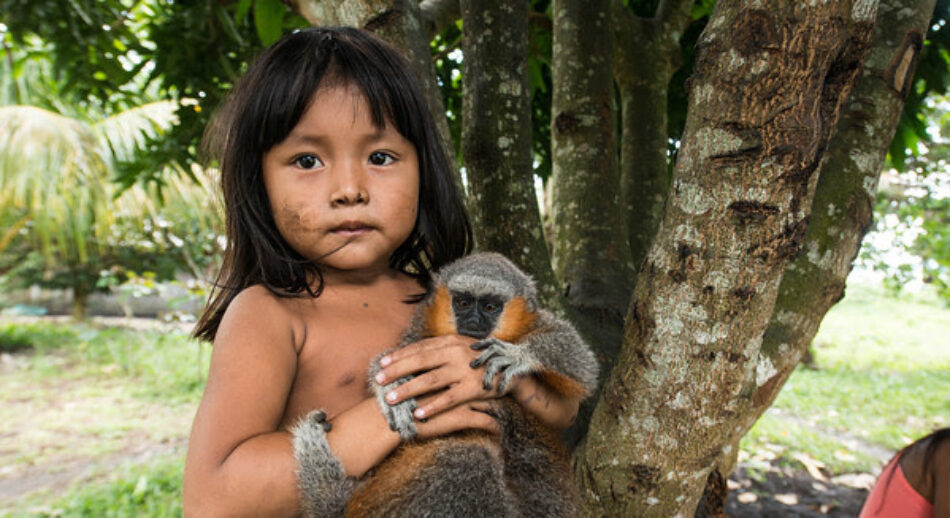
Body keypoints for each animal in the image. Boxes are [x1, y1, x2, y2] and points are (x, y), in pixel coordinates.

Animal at [338, 253, 600, 518]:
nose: (473, 321)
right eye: (463, 303)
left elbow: (583, 365)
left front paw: (518, 355)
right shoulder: (421, 330)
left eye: (490, 307)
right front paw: (391, 384)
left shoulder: (535, 321)